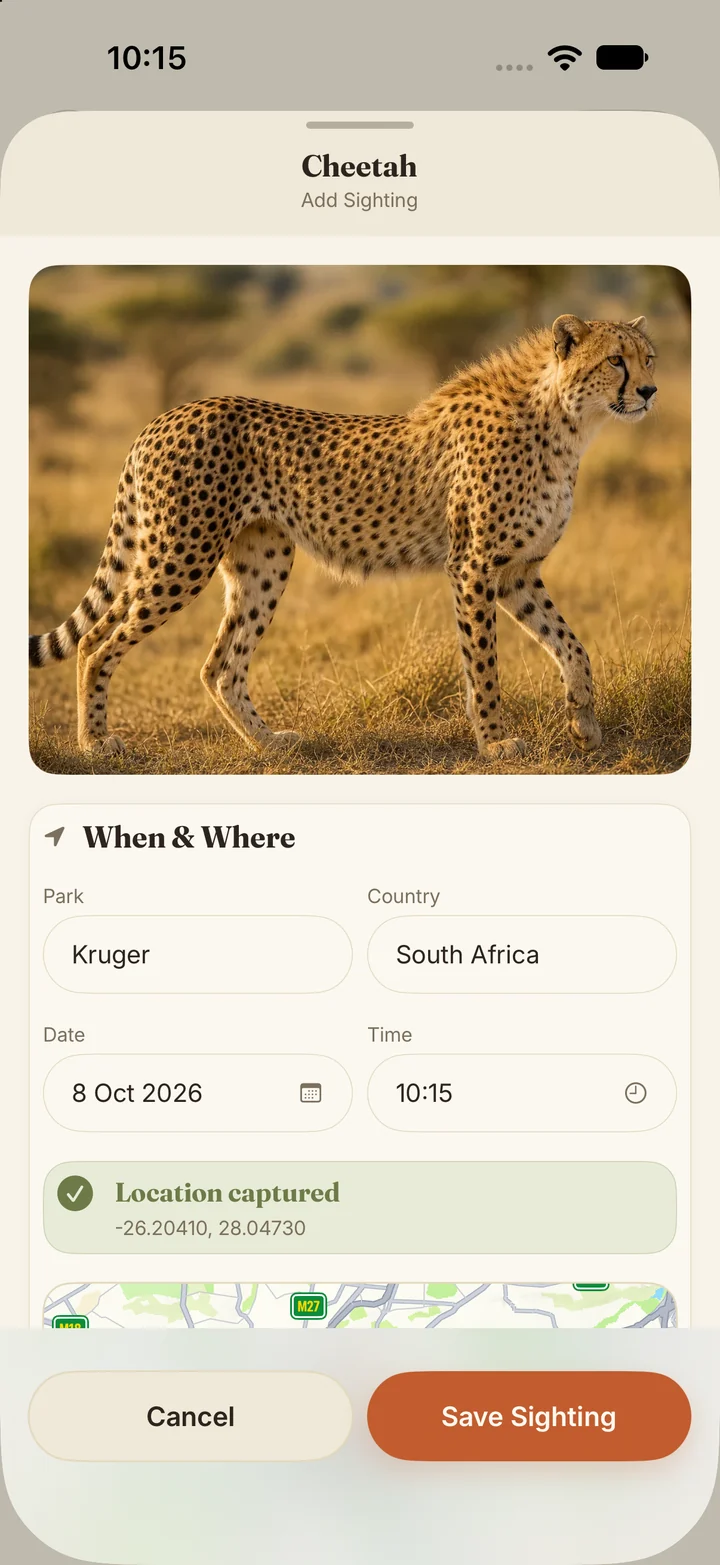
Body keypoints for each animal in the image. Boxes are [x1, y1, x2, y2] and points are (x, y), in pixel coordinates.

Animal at [29, 313, 656, 761]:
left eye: (649, 358)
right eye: (615, 360)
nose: (650, 392)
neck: (566, 423)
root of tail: (166, 415)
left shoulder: (517, 573)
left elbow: (573, 646)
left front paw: (585, 725)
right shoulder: (475, 567)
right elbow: (484, 664)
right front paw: (496, 743)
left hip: (260, 560)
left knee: (219, 665)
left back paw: (269, 743)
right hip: (180, 555)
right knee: (97, 641)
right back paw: (95, 743)